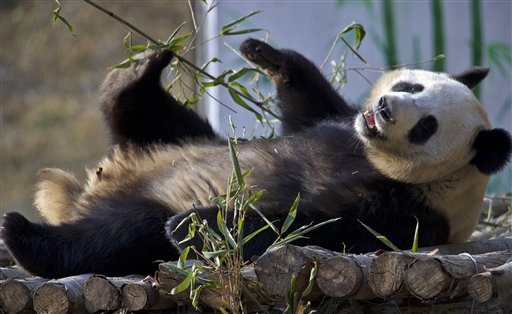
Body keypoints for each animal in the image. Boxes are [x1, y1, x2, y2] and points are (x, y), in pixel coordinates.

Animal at [2, 38, 510, 278]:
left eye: (427, 126)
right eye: (412, 86)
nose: (384, 109)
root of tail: (89, 193)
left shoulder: (405, 211)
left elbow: (304, 225)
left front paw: (196, 223)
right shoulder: (340, 126)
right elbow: (308, 107)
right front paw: (266, 55)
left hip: (137, 212)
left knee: (120, 235)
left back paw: (25, 235)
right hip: (177, 139)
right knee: (144, 112)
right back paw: (144, 68)